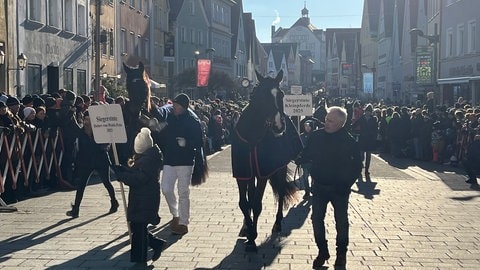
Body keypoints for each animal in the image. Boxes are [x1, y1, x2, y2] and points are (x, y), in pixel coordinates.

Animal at [231, 69, 302, 251]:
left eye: (282, 94)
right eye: (262, 95)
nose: (279, 126)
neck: (252, 138)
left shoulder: (263, 173)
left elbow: (256, 204)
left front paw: (253, 237)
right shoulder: (243, 173)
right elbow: (244, 203)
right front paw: (248, 229)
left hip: (280, 168)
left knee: (282, 192)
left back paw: (277, 223)